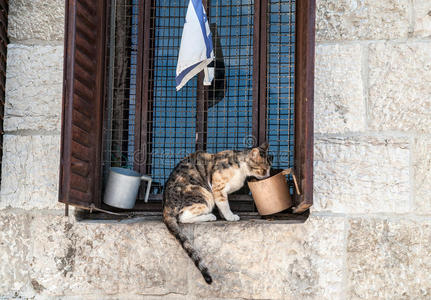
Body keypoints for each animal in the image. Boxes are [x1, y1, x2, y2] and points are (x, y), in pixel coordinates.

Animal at [162, 142, 270, 284]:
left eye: (269, 168)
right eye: (263, 169)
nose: (268, 175)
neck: (240, 167)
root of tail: (167, 204)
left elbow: (221, 206)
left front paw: (224, 216)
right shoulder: (218, 188)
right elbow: (224, 204)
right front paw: (230, 216)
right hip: (204, 195)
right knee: (183, 217)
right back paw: (210, 216)